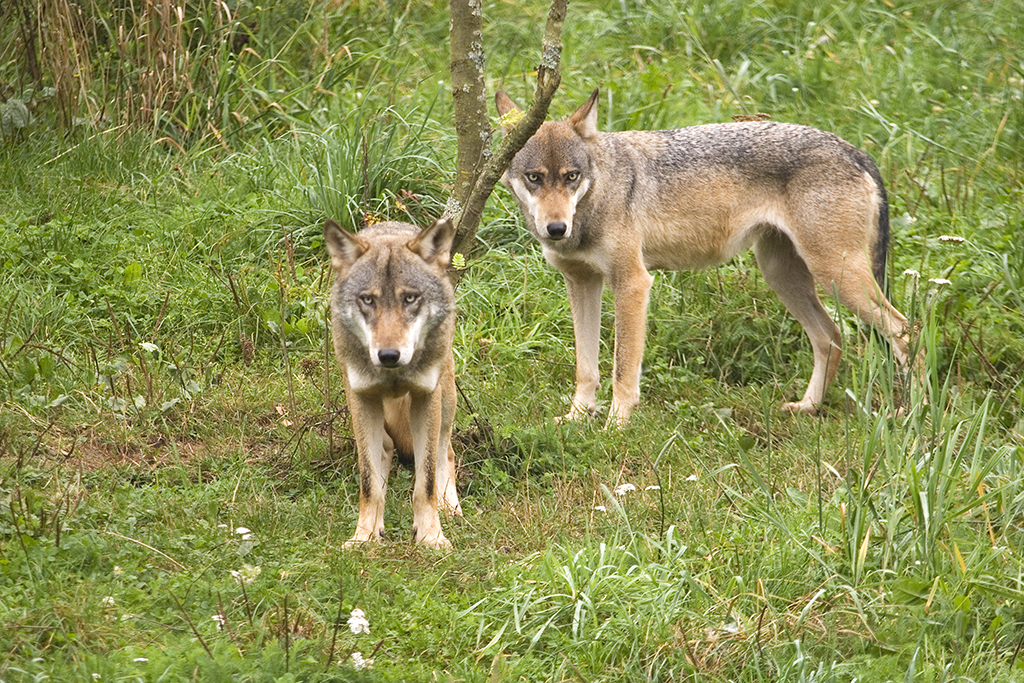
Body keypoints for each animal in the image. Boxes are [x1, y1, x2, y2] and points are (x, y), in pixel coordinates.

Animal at [325, 216, 462, 548]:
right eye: (368, 300)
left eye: (409, 298)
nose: (388, 355)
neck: (393, 376)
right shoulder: (361, 398)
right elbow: (368, 482)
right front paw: (364, 536)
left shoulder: (426, 397)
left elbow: (425, 481)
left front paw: (431, 537)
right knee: (386, 449)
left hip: (446, 398)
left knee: (447, 451)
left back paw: (450, 507)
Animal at [497, 88, 921, 423]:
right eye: (534, 178)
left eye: (571, 177)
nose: (556, 229)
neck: (599, 192)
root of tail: (856, 151)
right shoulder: (582, 283)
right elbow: (586, 368)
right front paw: (575, 418)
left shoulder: (632, 283)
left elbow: (622, 369)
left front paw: (616, 425)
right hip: (784, 276)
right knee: (831, 337)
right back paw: (807, 407)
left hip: (837, 276)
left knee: (906, 331)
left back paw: (912, 413)